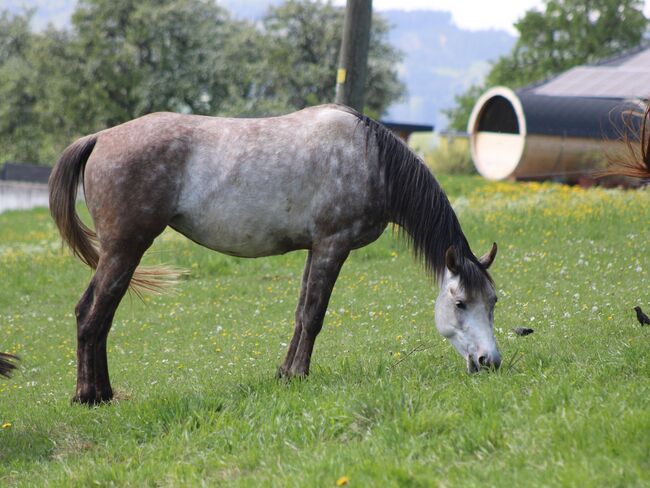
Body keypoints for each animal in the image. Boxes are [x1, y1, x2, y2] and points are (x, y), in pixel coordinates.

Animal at [48, 105, 498, 406]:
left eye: (493, 302)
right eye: (460, 302)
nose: (489, 361)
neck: (369, 159)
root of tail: (99, 138)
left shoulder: (315, 250)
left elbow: (301, 313)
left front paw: (284, 373)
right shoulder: (332, 247)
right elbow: (314, 316)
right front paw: (299, 375)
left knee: (93, 314)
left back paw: (102, 393)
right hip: (124, 251)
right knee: (93, 315)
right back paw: (89, 396)